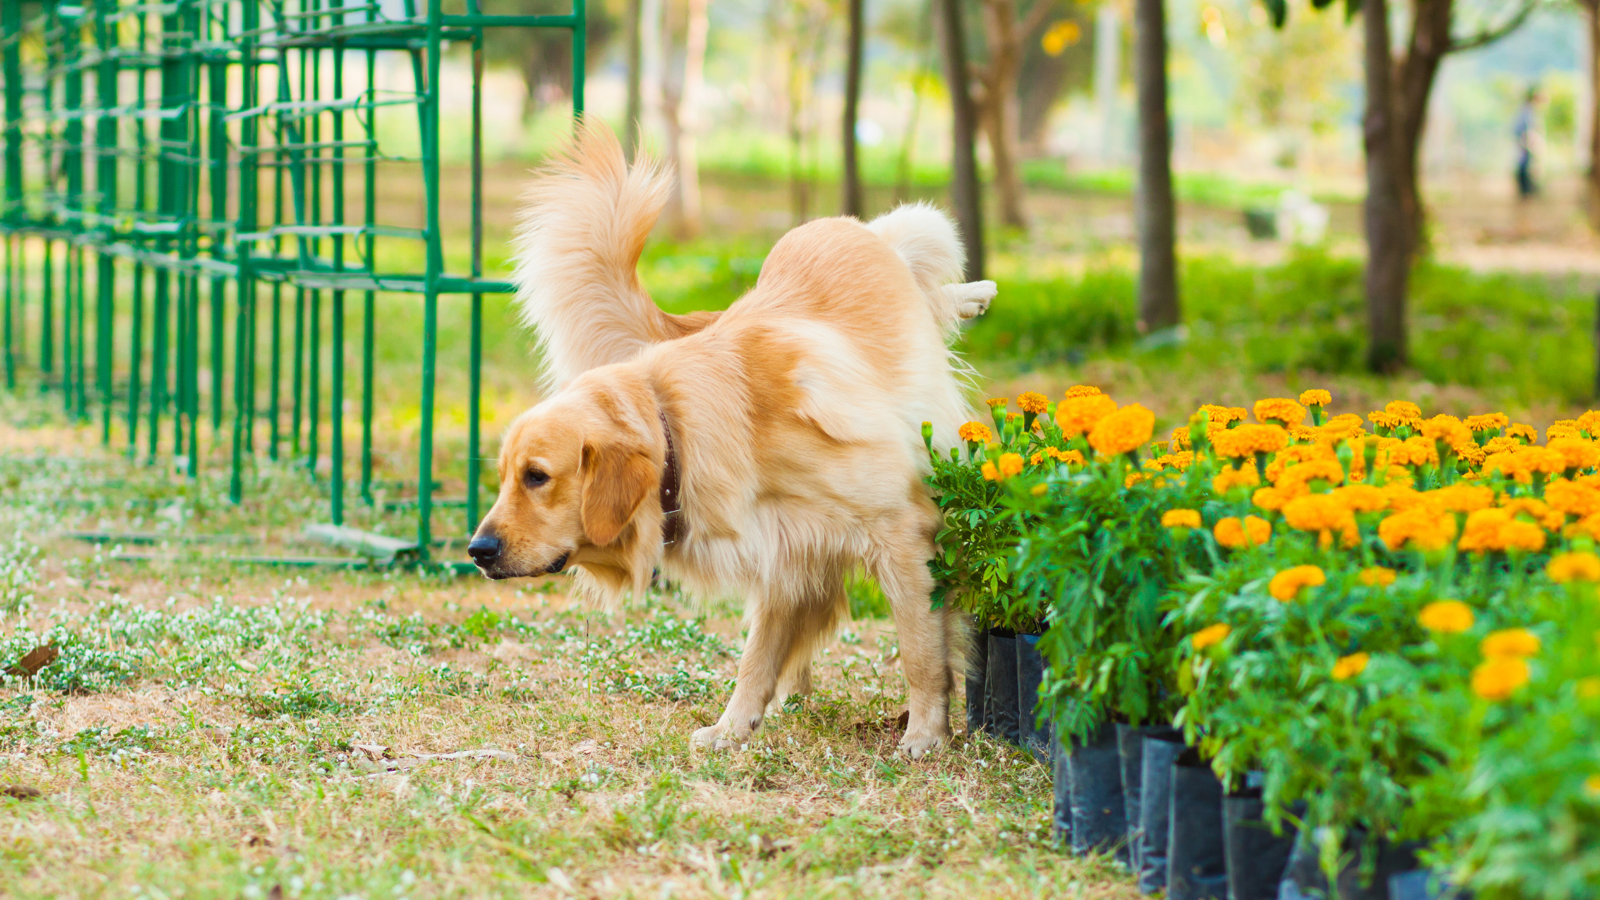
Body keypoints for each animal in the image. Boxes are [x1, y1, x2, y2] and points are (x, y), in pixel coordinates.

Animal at [467, 117, 985, 749]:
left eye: (536, 477)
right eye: (504, 479)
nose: (477, 551)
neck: (677, 430)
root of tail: (832, 227)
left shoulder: (901, 531)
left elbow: (918, 647)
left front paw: (927, 732)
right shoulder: (789, 554)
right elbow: (757, 657)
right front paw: (733, 727)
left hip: (903, 250)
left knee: (916, 240)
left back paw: (974, 293)